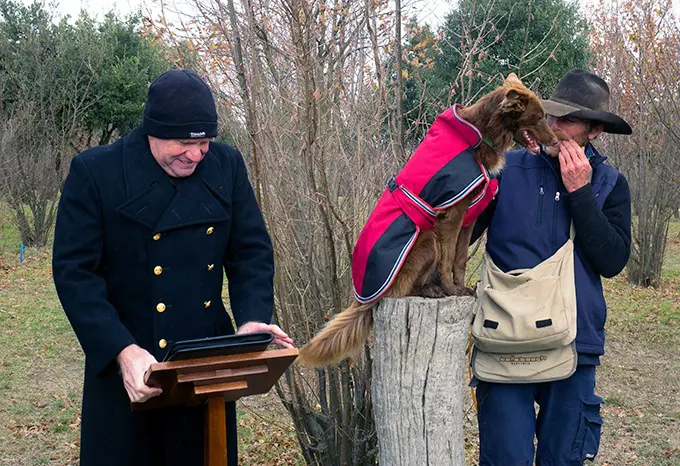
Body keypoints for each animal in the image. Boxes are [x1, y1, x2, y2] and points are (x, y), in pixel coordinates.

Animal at [300, 73, 560, 368]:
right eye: (538, 117)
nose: (556, 143)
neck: (479, 135)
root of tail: (362, 298)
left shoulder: (469, 217)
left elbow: (460, 258)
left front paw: (461, 287)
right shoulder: (452, 214)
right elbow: (447, 258)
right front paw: (450, 288)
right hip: (425, 241)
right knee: (400, 290)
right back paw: (431, 289)